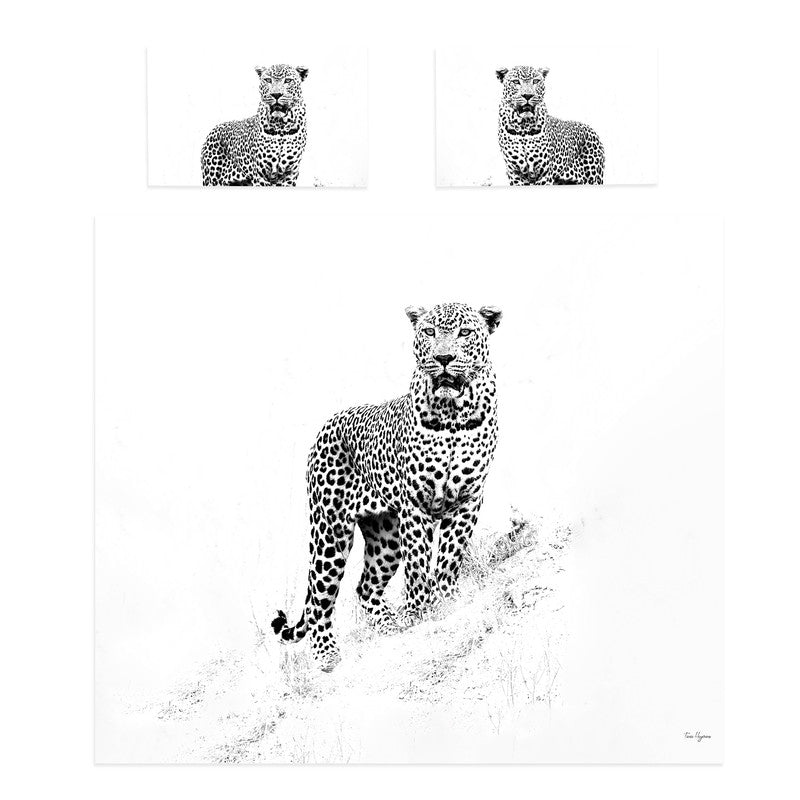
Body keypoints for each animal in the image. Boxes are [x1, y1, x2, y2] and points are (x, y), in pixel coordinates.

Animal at [271, 302, 503, 671]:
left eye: (465, 332)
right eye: (429, 332)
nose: (444, 357)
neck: (453, 415)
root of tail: (327, 424)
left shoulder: (468, 499)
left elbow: (449, 556)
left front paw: (447, 600)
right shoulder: (415, 504)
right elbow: (419, 563)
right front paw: (420, 609)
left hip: (385, 535)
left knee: (365, 588)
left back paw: (390, 625)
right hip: (330, 532)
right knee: (321, 600)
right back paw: (327, 655)